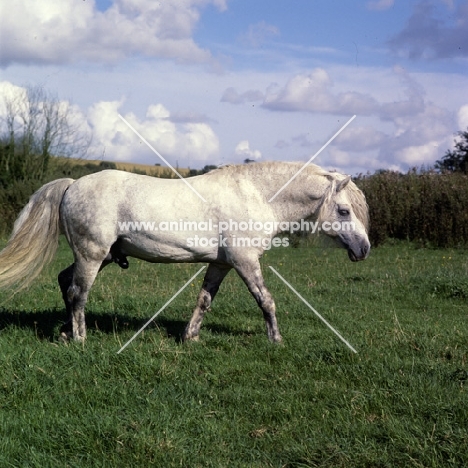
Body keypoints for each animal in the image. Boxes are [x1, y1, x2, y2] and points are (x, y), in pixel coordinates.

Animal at [0, 163, 370, 342]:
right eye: (343, 211)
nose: (363, 248)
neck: (254, 195)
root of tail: (72, 185)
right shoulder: (245, 261)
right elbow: (266, 300)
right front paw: (275, 339)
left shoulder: (222, 264)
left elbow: (204, 300)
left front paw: (190, 337)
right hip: (92, 255)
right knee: (78, 293)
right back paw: (79, 337)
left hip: (98, 256)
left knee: (65, 282)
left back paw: (64, 333)